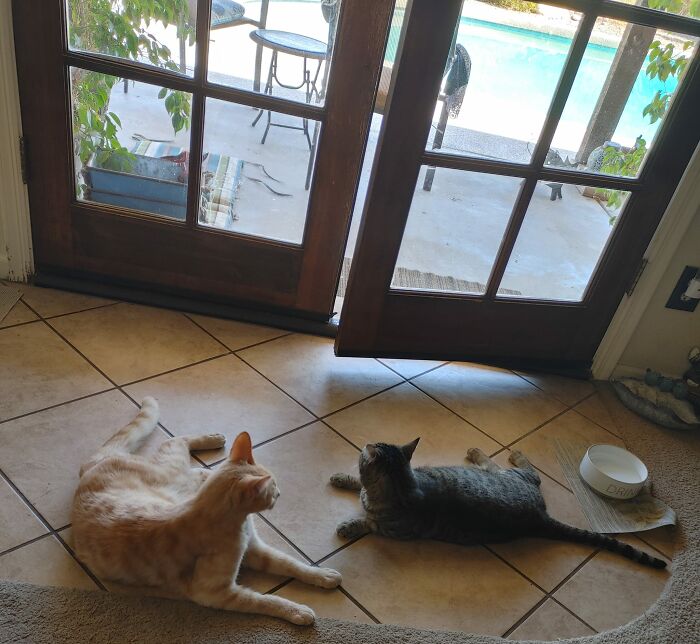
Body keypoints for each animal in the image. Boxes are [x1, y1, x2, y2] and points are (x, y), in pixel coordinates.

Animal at [72, 398, 342, 624]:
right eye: (273, 486)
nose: (279, 494)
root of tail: (90, 468)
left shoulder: (256, 551)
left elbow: (292, 564)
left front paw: (322, 575)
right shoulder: (215, 593)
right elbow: (265, 600)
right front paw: (297, 611)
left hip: (180, 478)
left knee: (190, 459)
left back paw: (212, 444)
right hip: (172, 471)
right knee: (174, 441)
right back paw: (210, 442)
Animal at [330, 438, 664, 568]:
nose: (364, 446)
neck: (403, 484)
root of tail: (539, 517)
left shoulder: (395, 530)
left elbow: (370, 521)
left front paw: (350, 524)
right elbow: (358, 485)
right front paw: (343, 478)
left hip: (509, 476)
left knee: (527, 471)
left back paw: (493, 453)